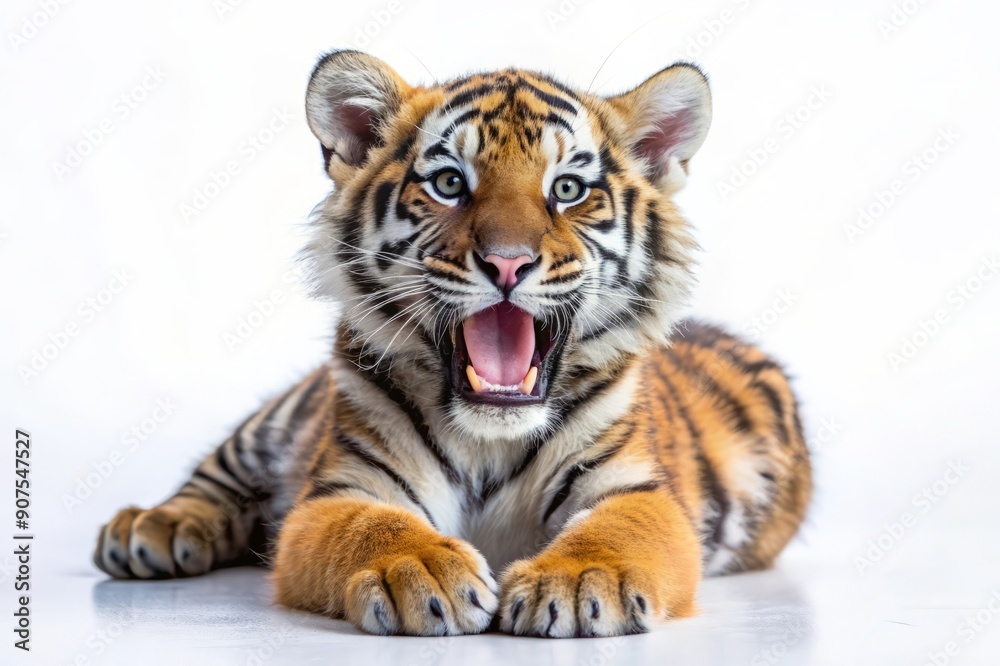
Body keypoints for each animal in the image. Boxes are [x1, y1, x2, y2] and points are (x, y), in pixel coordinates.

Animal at [93, 50, 812, 638]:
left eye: (568, 190)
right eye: (448, 184)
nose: (508, 263)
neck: (489, 436)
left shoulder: (637, 489)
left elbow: (618, 531)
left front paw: (577, 581)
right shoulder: (343, 489)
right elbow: (370, 528)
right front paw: (421, 572)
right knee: (214, 478)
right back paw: (150, 530)